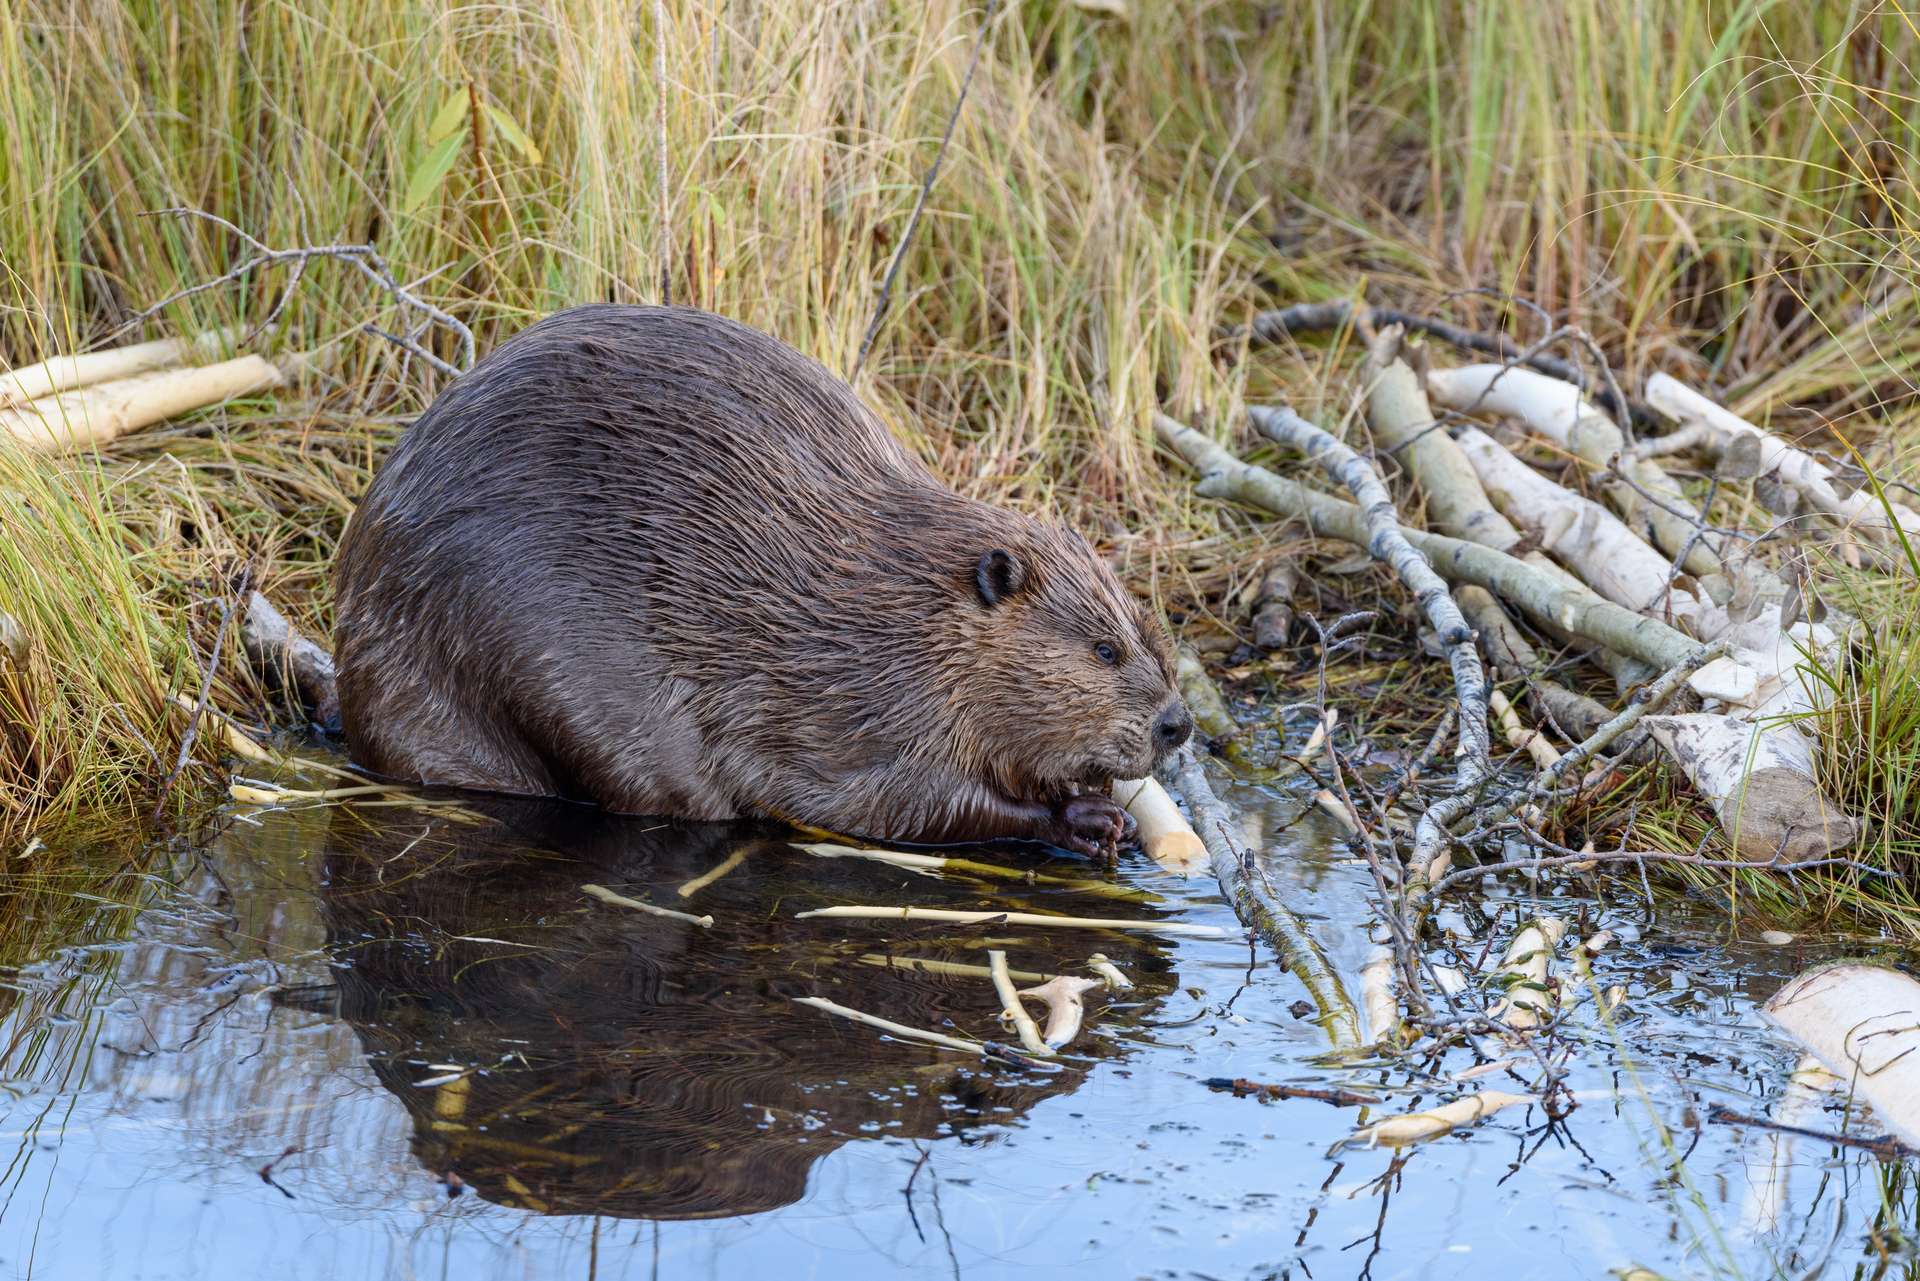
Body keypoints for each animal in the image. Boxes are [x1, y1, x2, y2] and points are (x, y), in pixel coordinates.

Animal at [337, 305, 1190, 856]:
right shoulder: (859, 709)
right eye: (1104, 649)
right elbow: (904, 802)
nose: (1176, 723)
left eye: (1153, 635)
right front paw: (1086, 821)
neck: (910, 610)